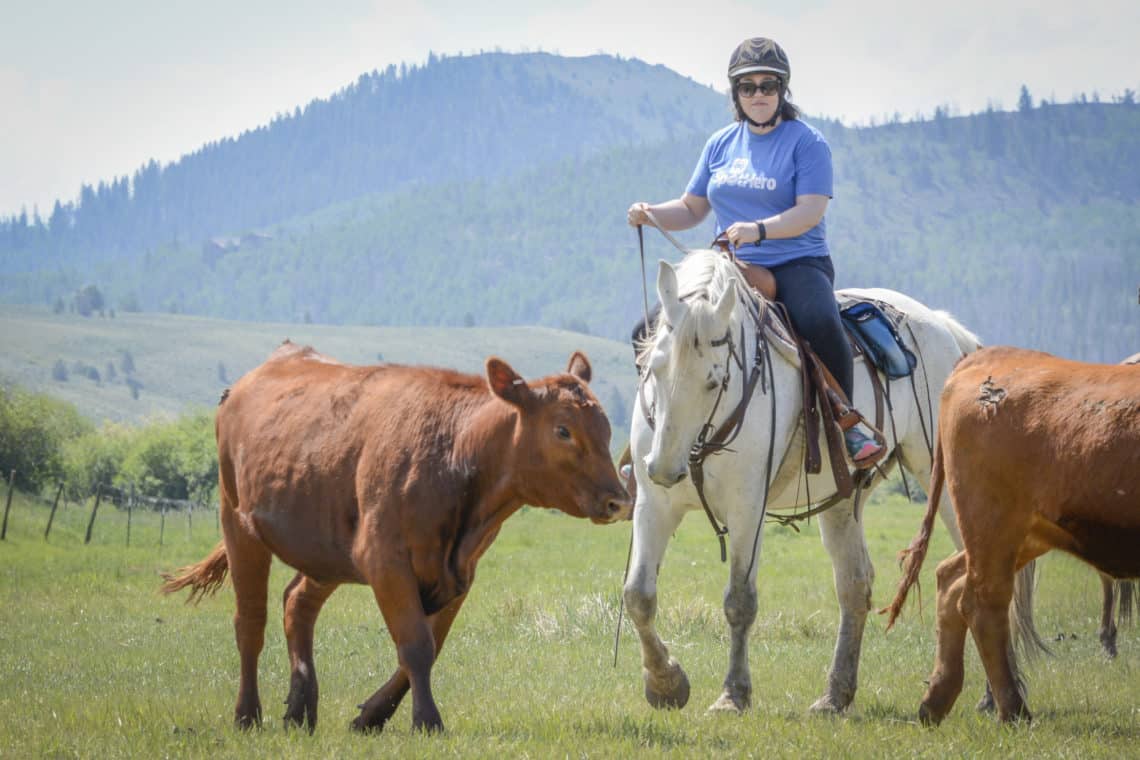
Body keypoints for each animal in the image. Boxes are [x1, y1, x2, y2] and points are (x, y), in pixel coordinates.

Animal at [158, 341, 633, 733]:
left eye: (607, 428)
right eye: (563, 430)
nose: (618, 500)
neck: (453, 452)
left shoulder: (459, 572)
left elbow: (429, 646)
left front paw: (371, 716)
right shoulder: (385, 560)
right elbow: (416, 645)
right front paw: (427, 720)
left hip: (326, 549)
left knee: (297, 604)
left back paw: (299, 709)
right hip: (239, 525)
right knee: (250, 623)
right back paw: (247, 715)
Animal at [620, 248, 984, 715]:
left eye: (716, 380)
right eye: (653, 368)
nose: (665, 468)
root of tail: (942, 327)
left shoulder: (747, 507)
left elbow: (740, 601)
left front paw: (733, 694)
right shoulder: (654, 504)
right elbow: (638, 596)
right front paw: (665, 684)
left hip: (942, 474)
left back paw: (993, 699)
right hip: (845, 500)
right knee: (854, 584)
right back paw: (834, 696)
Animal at [889, 346, 1140, 724]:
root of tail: (988, 357)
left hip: (1021, 536)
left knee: (951, 578)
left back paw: (936, 701)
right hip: (993, 526)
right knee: (983, 602)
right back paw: (1012, 709)